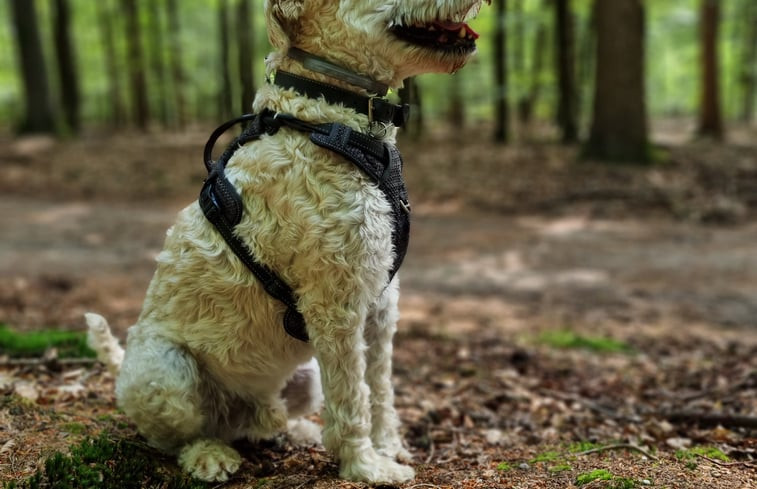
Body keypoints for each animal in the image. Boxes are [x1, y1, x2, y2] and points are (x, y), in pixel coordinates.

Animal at [84, 0, 484, 482]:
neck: (328, 115)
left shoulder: (381, 301)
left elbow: (381, 387)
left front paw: (390, 446)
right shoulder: (336, 305)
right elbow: (353, 398)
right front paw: (366, 466)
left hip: (304, 379)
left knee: (263, 421)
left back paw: (294, 432)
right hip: (168, 373)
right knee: (176, 436)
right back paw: (209, 455)